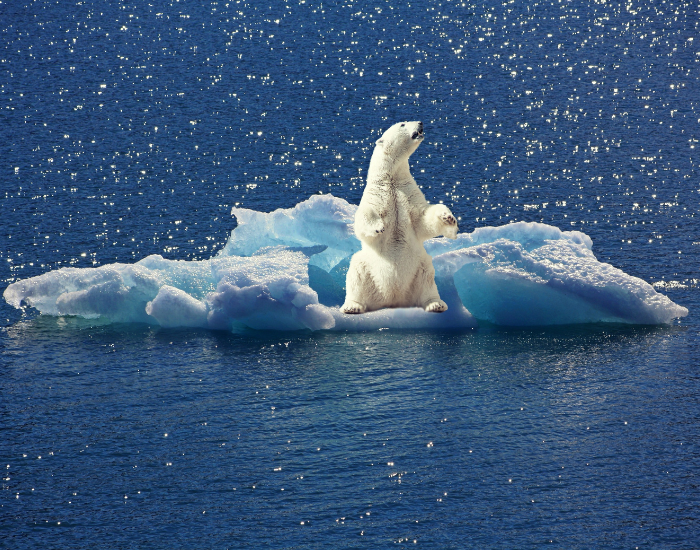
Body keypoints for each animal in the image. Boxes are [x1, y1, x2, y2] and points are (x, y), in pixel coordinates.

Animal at [341, 121, 458, 314]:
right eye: (402, 124)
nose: (420, 122)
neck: (391, 179)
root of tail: (393, 299)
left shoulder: (408, 193)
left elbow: (423, 219)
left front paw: (448, 218)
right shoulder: (377, 195)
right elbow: (364, 216)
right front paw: (378, 227)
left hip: (419, 266)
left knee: (427, 278)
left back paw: (436, 304)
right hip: (367, 267)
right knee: (356, 272)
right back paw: (352, 306)